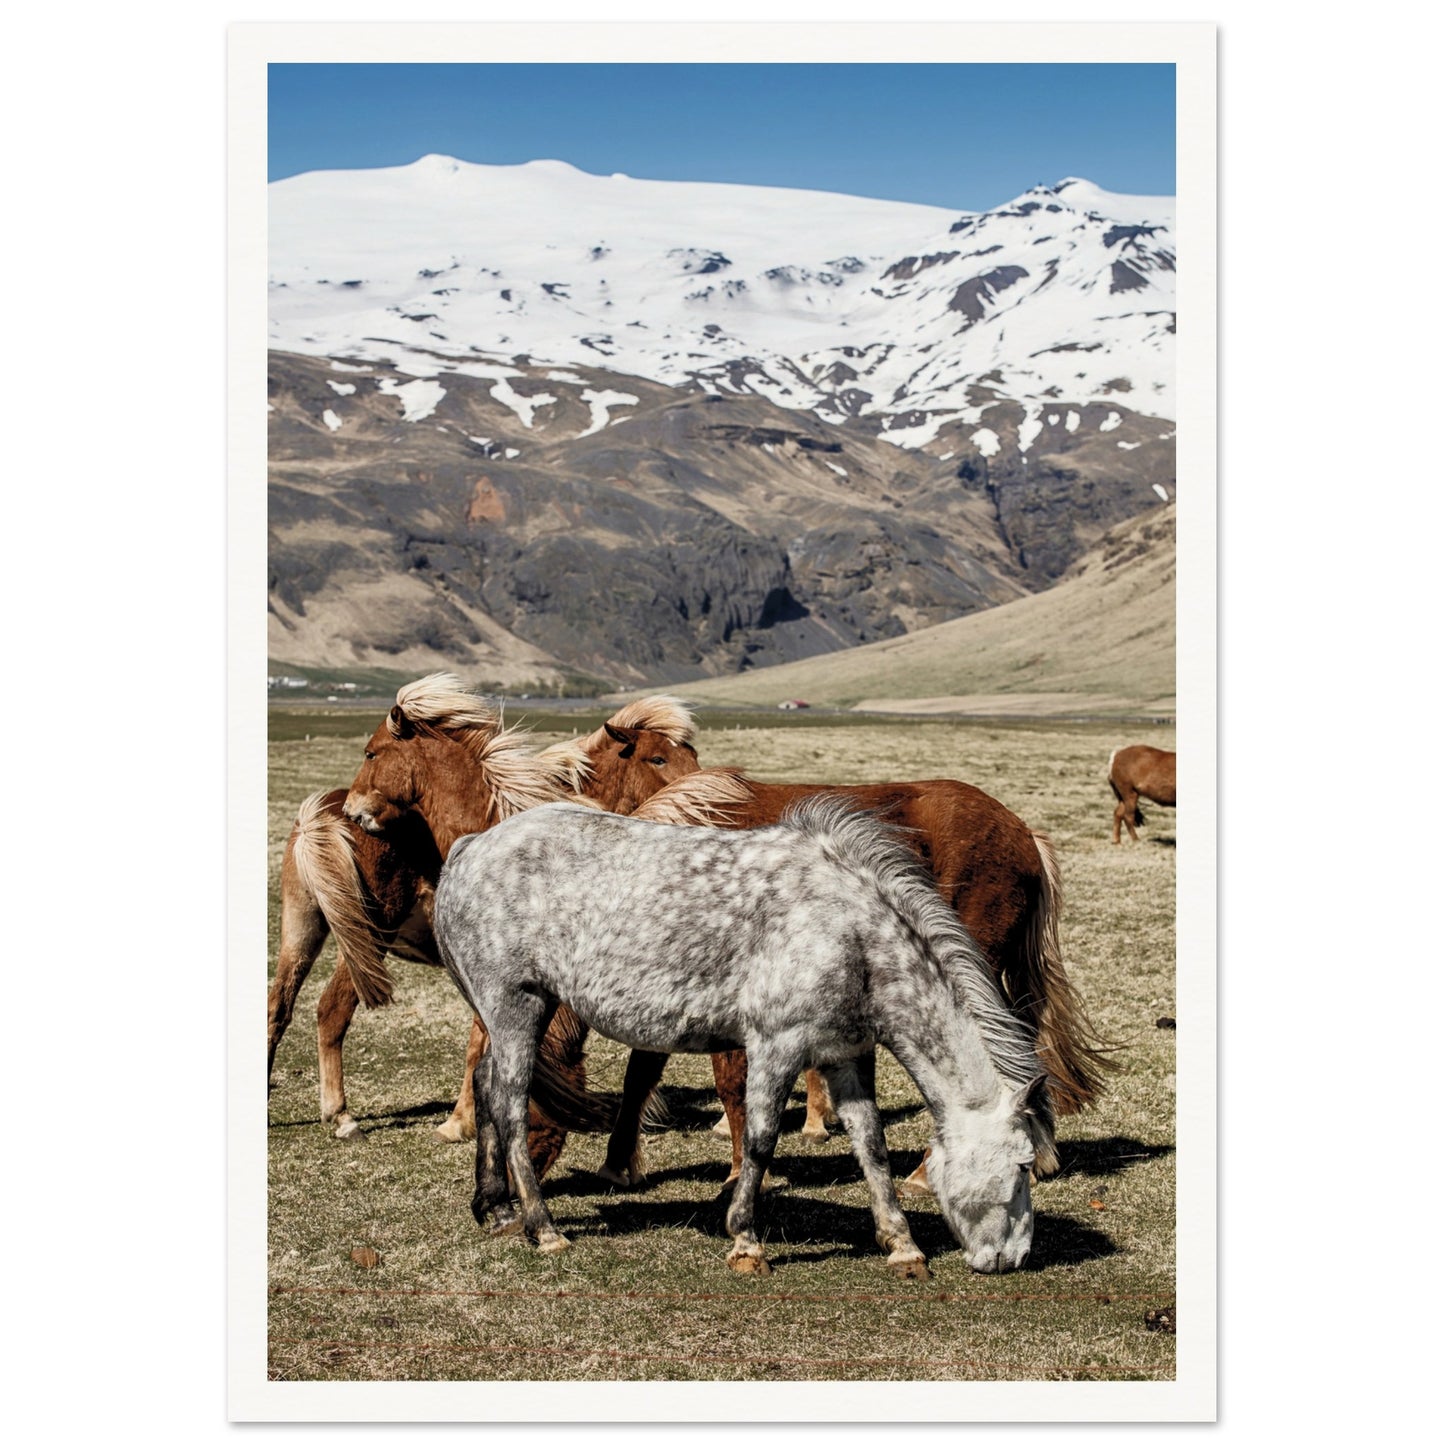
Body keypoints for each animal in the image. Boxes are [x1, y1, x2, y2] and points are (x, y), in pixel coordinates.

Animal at [266, 676, 699, 1154]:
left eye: (690, 754)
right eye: (658, 757)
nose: (356, 811)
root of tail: (320, 815)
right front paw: (465, 1121)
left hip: (304, 931)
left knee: (281, 1007)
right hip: (366, 939)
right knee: (331, 1010)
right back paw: (343, 1117)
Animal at [434, 798, 1050, 1278]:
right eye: (1024, 1166)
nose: (1014, 1258)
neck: (850, 933)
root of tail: (470, 846)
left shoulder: (847, 1055)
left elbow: (871, 1145)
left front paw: (902, 1245)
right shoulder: (777, 1045)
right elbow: (759, 1139)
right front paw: (746, 1240)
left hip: (520, 1011)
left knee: (487, 1085)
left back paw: (495, 1209)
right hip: (516, 1004)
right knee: (510, 1105)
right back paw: (542, 1227)